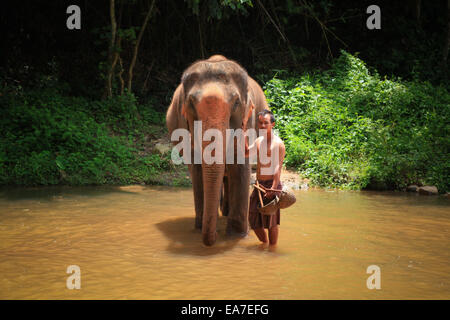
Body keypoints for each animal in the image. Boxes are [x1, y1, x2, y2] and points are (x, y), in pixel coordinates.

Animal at [167, 54, 268, 245]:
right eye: (191, 103)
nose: (213, 237)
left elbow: (240, 166)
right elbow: (198, 169)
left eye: (236, 102)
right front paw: (200, 229)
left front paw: (237, 236)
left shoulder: (247, 121)